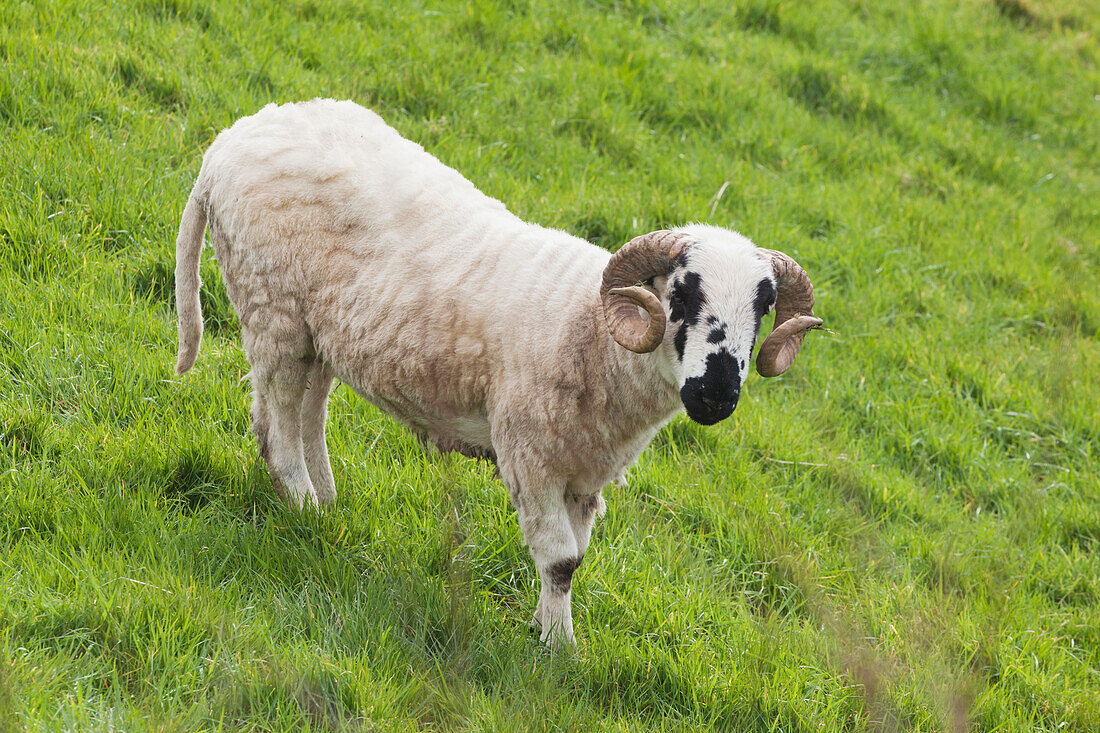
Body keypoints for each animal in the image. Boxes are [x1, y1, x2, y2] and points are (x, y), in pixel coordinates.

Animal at [176, 98, 822, 647]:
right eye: (682, 294)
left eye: (764, 306)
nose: (716, 394)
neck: (589, 332)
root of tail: (230, 140)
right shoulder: (529, 454)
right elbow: (561, 558)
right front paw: (558, 650)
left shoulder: (583, 473)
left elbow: (574, 557)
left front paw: (546, 626)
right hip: (274, 307)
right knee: (277, 423)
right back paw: (305, 507)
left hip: (320, 330)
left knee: (306, 410)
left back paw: (324, 505)